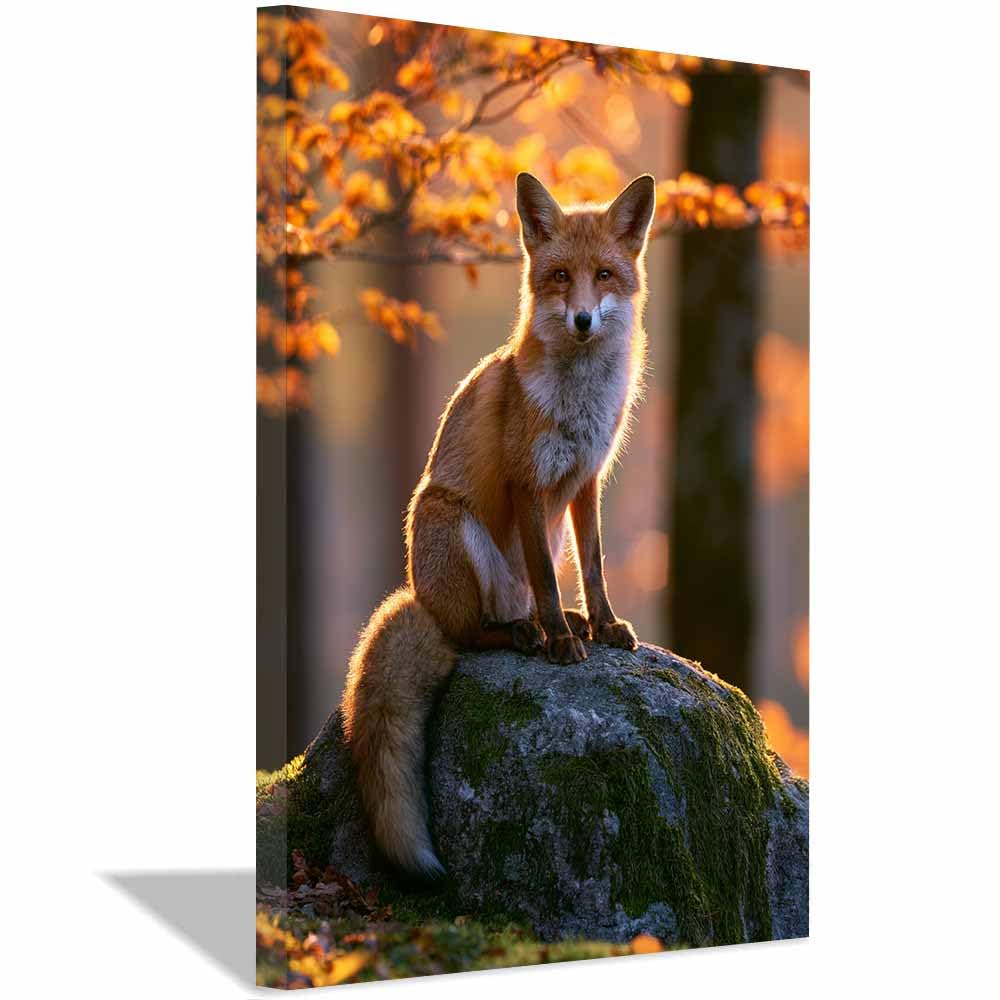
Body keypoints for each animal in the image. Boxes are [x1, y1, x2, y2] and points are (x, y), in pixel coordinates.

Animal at [340, 171, 657, 879]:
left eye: (604, 275)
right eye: (561, 277)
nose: (584, 319)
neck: (578, 404)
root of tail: (417, 595)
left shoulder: (586, 482)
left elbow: (593, 568)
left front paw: (602, 625)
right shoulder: (527, 483)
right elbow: (546, 576)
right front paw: (564, 642)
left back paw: (551, 624)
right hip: (451, 522)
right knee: (470, 634)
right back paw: (524, 634)